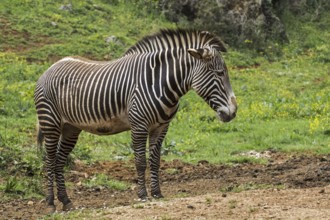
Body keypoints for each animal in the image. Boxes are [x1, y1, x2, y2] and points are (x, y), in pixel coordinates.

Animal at [34, 28, 237, 212]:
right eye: (220, 73)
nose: (233, 112)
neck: (160, 82)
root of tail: (50, 67)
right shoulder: (139, 125)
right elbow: (140, 161)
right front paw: (143, 195)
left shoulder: (161, 127)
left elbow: (155, 161)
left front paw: (157, 193)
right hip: (50, 123)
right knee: (49, 160)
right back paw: (50, 203)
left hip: (70, 128)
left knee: (59, 161)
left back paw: (66, 201)